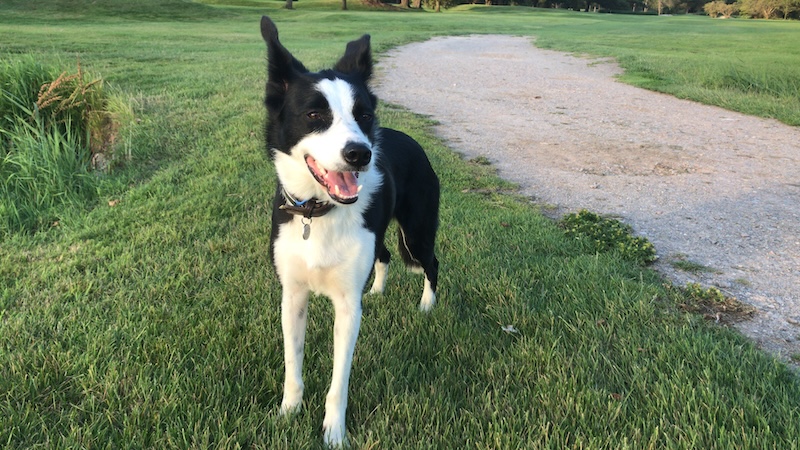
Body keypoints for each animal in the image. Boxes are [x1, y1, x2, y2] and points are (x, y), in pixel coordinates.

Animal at [260, 15, 438, 444]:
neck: (318, 213)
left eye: (364, 115)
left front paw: (333, 432)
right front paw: (288, 413)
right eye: (313, 115)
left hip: (417, 232)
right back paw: (376, 290)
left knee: (432, 263)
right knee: (384, 255)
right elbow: (293, 366)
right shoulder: (292, 297)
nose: (360, 154)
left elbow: (338, 383)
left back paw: (427, 305)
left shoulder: (346, 309)